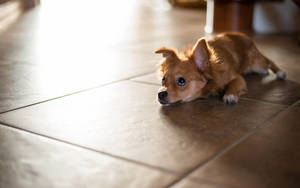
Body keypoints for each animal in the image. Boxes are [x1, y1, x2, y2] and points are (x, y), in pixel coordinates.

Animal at [155, 32, 286, 106]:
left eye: (181, 81)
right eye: (163, 79)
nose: (160, 94)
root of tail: (245, 36)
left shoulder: (238, 78)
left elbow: (233, 84)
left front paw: (230, 95)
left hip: (257, 64)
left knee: (269, 61)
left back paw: (281, 72)